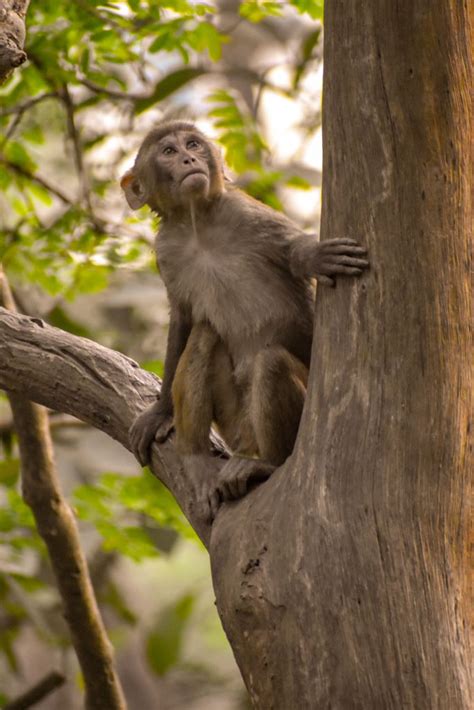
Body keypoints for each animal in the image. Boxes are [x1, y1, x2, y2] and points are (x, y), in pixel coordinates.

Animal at [121, 120, 369, 520]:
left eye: (193, 144)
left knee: (270, 363)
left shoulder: (245, 212)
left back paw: (266, 463)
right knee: (205, 333)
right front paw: (160, 411)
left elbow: (290, 250)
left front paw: (315, 255)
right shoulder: (166, 251)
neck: (198, 225)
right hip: (234, 423)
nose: (190, 159)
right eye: (169, 152)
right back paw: (197, 460)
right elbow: (184, 321)